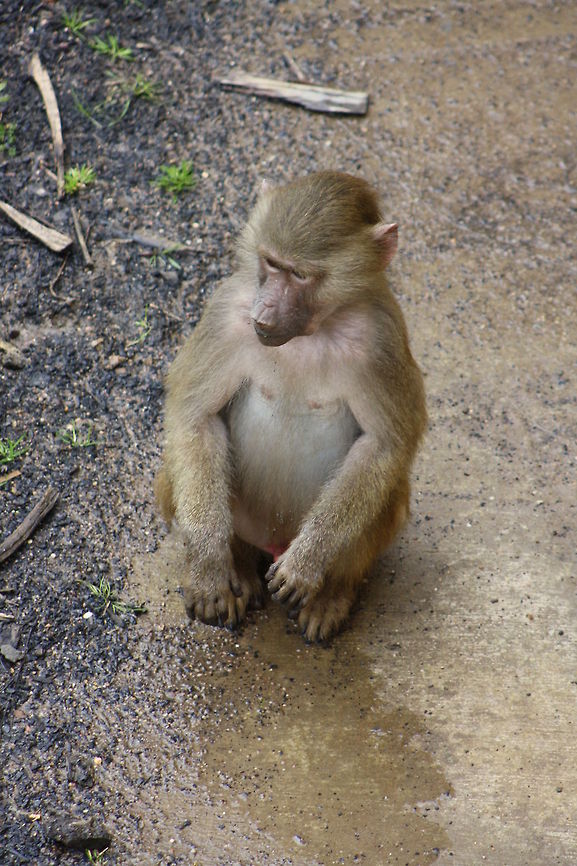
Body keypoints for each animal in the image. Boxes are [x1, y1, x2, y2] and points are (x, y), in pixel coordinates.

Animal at [155, 171, 427, 641]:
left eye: (300, 274)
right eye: (271, 263)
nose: (264, 314)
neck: (309, 332)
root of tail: (273, 542)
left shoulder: (382, 337)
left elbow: (384, 446)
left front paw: (308, 564)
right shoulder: (227, 310)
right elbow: (196, 418)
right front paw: (208, 569)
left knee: (387, 491)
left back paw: (331, 593)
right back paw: (239, 569)